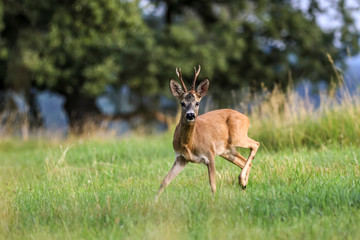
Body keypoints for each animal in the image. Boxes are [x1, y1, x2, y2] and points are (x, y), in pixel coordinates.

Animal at [156, 65, 260, 201]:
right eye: (182, 103)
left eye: (197, 103)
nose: (190, 115)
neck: (189, 144)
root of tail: (246, 118)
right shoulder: (181, 158)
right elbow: (164, 181)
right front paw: (154, 201)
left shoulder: (209, 154)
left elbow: (213, 185)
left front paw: (214, 201)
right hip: (227, 150)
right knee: (244, 161)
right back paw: (243, 186)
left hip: (238, 137)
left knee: (255, 144)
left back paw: (242, 181)